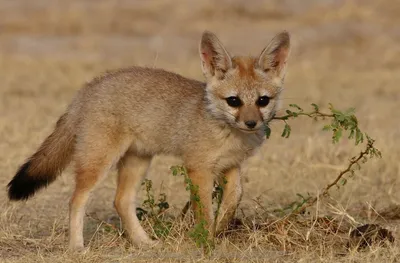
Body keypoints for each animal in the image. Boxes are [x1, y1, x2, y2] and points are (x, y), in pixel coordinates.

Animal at [6, 29, 290, 251]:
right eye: (234, 101)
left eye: (262, 101)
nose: (251, 123)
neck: (227, 132)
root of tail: (89, 87)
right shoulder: (198, 168)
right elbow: (205, 211)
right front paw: (206, 241)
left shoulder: (231, 166)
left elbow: (234, 198)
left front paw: (221, 227)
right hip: (98, 163)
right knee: (76, 199)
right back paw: (77, 247)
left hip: (138, 161)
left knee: (121, 201)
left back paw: (143, 242)